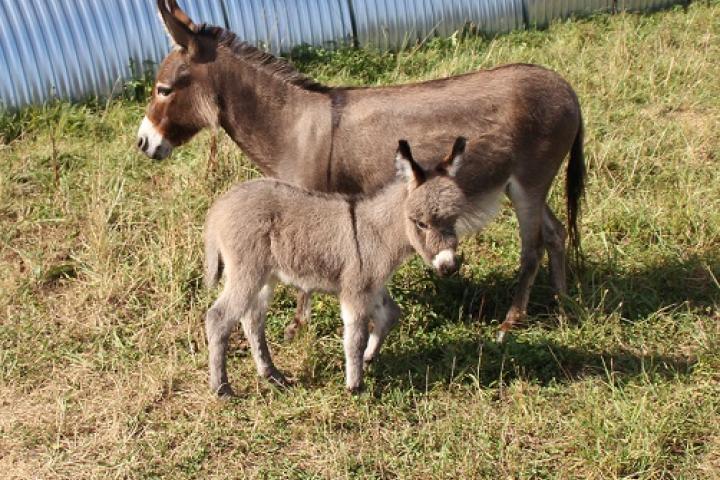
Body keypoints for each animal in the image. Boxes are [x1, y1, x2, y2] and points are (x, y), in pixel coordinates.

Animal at [205, 137, 470, 396]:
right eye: (421, 224)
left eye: (454, 219)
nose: (448, 267)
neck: (378, 231)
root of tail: (218, 209)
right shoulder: (356, 289)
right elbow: (356, 337)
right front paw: (356, 386)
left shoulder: (372, 285)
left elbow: (390, 314)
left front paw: (368, 358)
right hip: (247, 272)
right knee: (218, 318)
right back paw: (222, 388)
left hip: (265, 277)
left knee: (252, 319)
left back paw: (272, 375)